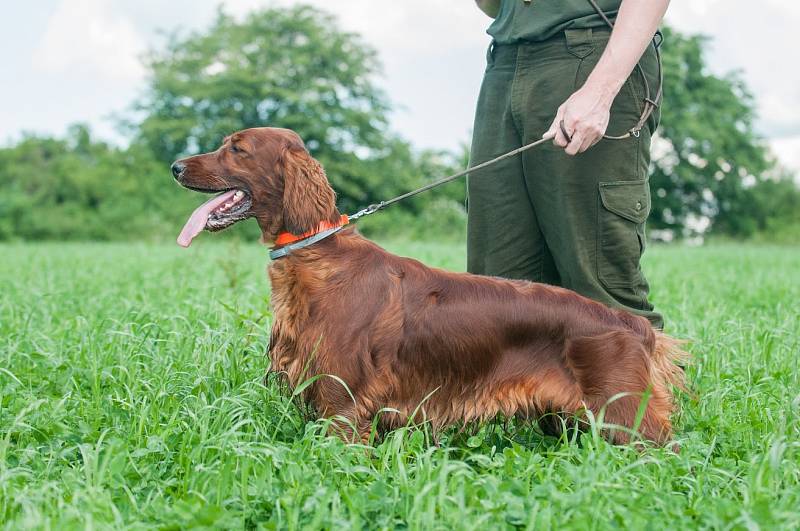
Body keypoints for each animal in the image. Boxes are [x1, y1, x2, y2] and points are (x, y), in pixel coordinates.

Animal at [173, 127, 688, 446]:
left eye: (237, 149)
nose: (176, 166)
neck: (317, 253)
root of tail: (632, 325)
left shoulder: (343, 405)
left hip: (625, 418)